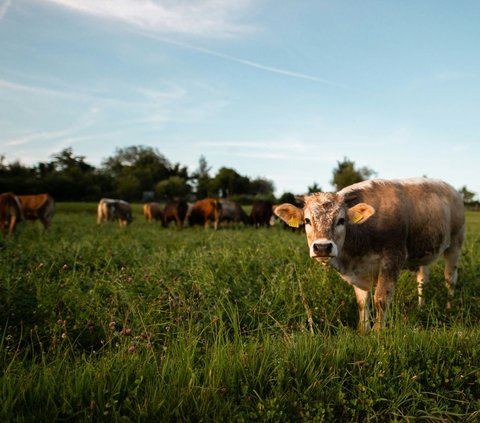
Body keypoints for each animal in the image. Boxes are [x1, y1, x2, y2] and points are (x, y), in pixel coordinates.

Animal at [274, 179, 464, 334]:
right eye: (307, 221)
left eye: (341, 220)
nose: (322, 247)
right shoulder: (358, 272)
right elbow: (362, 302)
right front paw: (363, 330)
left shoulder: (392, 258)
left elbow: (380, 298)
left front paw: (377, 332)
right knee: (422, 280)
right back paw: (421, 306)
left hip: (455, 244)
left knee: (450, 278)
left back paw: (449, 307)